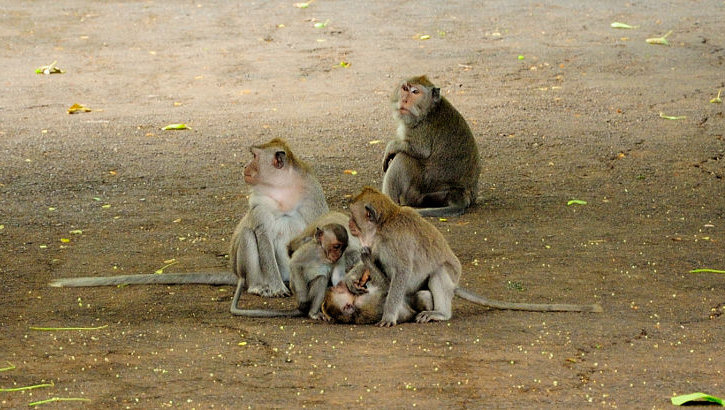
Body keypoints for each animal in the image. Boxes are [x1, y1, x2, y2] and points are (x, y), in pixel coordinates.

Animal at [51, 139, 330, 317]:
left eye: (253, 157)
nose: (244, 167)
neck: (282, 191)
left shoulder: (311, 192)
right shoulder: (259, 202)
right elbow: (260, 233)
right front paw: (276, 289)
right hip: (246, 270)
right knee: (248, 237)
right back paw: (259, 286)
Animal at [341, 187, 601, 327]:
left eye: (354, 217)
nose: (350, 225)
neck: (383, 226)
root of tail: (455, 285)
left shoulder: (395, 242)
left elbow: (402, 273)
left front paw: (389, 315)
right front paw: (355, 277)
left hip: (448, 279)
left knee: (439, 273)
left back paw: (441, 314)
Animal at [382, 75, 481, 217]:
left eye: (415, 92)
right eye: (405, 88)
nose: (404, 100)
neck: (429, 110)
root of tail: (461, 191)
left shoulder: (422, 128)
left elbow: (420, 150)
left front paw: (390, 147)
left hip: (426, 184)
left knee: (403, 158)